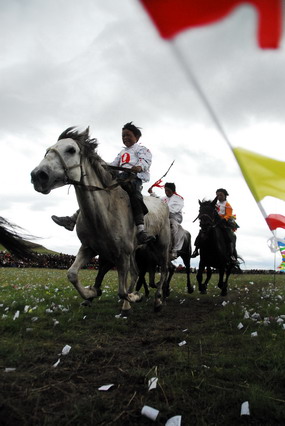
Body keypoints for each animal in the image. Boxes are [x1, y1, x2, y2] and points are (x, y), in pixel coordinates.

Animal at [31, 127, 170, 312]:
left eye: (71, 150)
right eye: (48, 150)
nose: (38, 175)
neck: (103, 214)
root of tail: (161, 202)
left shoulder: (122, 254)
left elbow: (122, 291)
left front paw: (135, 297)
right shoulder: (89, 248)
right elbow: (72, 274)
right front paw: (92, 293)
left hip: (161, 246)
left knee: (164, 270)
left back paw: (158, 300)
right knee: (136, 274)